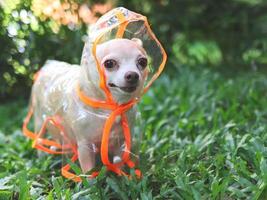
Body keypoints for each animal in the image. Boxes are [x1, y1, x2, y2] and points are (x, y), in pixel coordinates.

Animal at [31, 38, 149, 173]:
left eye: (143, 62)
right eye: (109, 64)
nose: (133, 75)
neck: (107, 108)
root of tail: (48, 66)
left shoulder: (120, 141)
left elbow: (118, 162)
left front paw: (120, 174)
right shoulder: (85, 145)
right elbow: (89, 170)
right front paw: (91, 178)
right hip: (40, 119)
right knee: (40, 137)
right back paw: (43, 157)